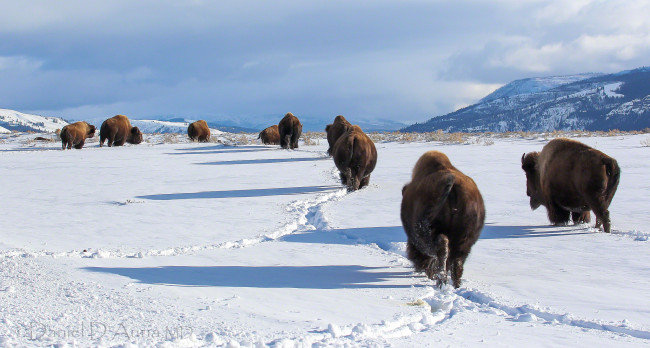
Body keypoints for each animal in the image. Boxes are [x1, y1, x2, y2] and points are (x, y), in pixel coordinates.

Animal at [398, 151, 484, 290]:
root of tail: (453, 184)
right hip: (464, 241)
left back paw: (440, 281)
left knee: (442, 250)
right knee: (457, 262)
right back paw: (455, 285)